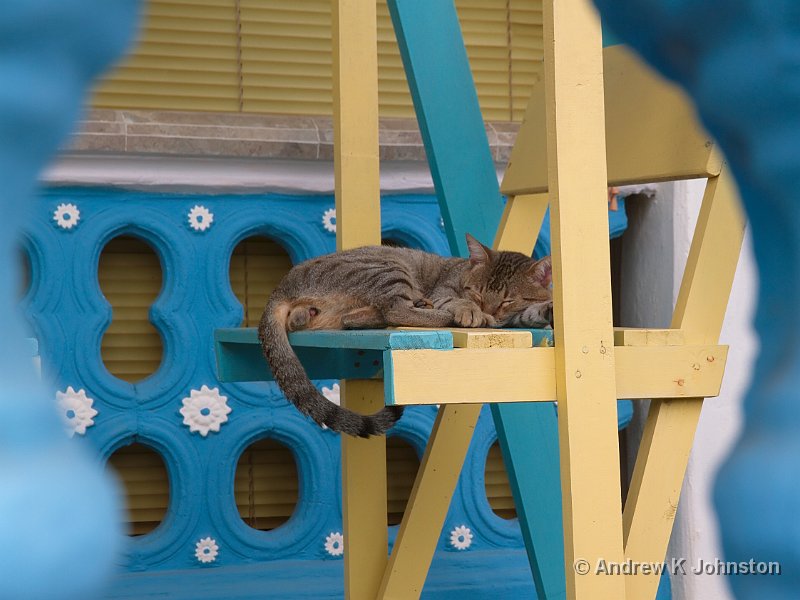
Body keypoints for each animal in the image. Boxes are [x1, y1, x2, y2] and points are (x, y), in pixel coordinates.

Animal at [260, 233, 552, 436]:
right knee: (394, 310)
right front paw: (470, 311)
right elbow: (453, 301)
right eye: (478, 293)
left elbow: (533, 312)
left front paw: (546, 310)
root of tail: (280, 288)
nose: (487, 309)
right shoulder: (444, 291)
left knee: (350, 317)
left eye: (507, 300)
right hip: (389, 267)